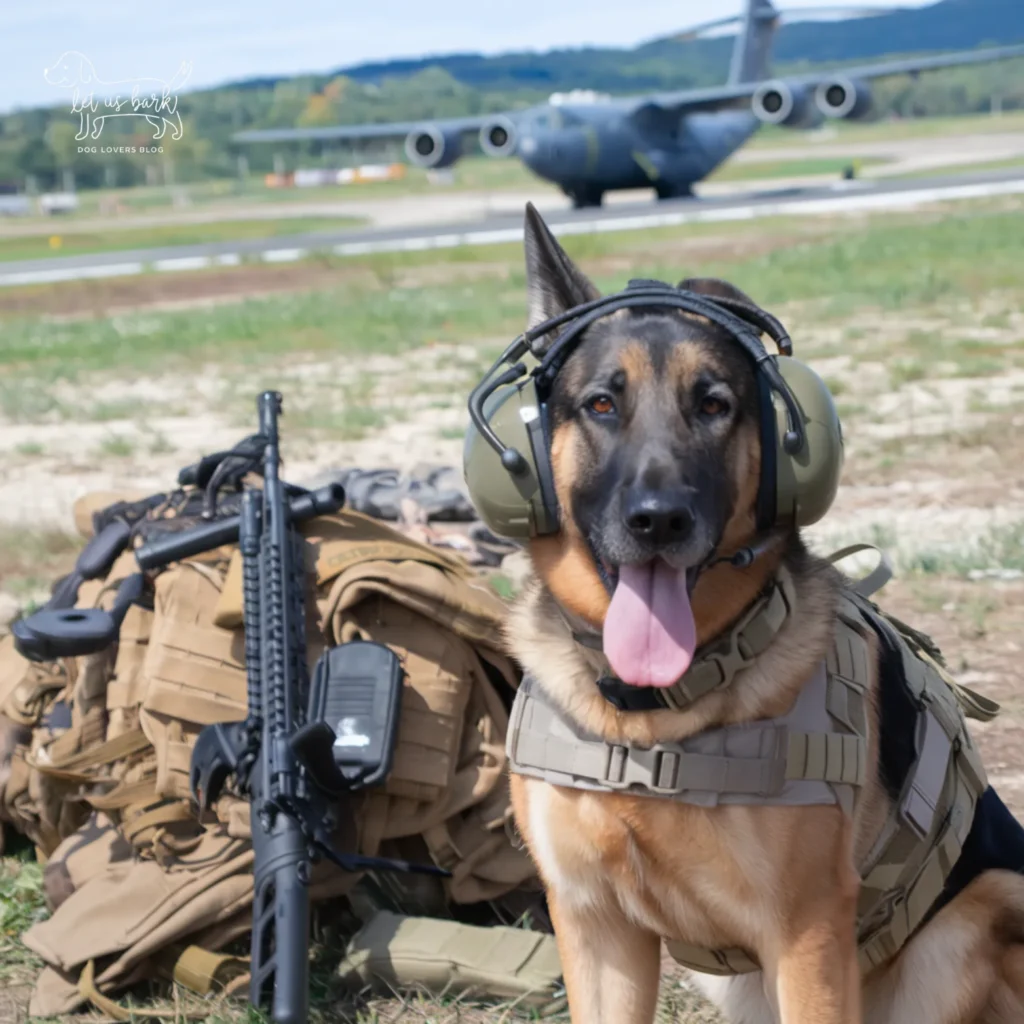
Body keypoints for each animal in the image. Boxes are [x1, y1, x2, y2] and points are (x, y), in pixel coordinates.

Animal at [507, 201, 1024, 1024]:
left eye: (714, 405)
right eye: (601, 405)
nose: (659, 520)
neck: (650, 714)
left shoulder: (805, 936)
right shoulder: (595, 927)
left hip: (988, 905)